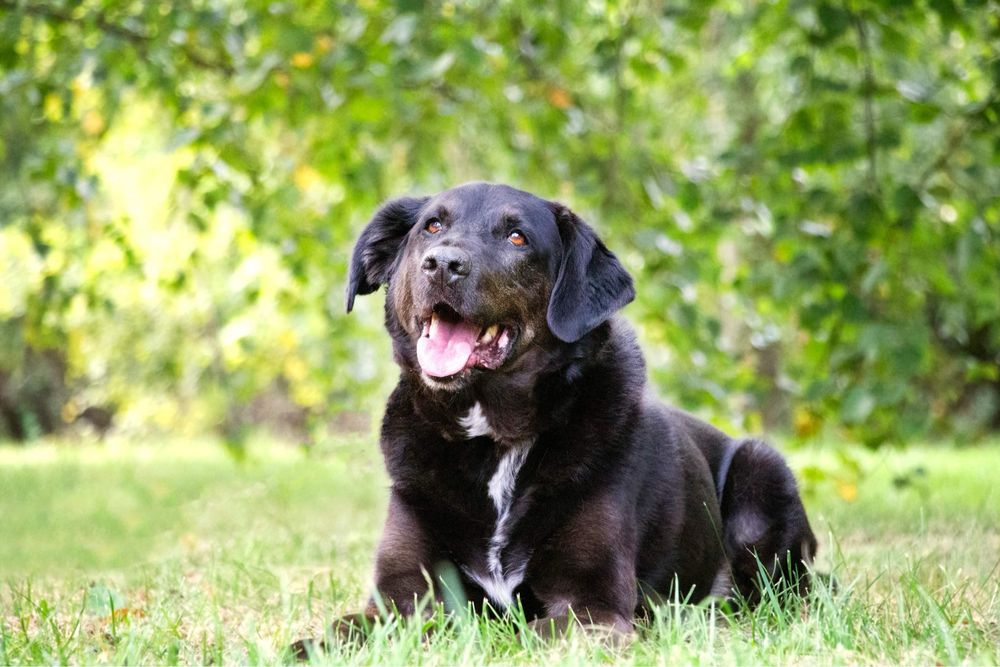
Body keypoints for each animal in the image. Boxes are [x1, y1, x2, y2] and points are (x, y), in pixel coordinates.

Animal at [316, 183, 816, 648]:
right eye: (432, 227)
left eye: (517, 237)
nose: (442, 264)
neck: (493, 438)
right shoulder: (399, 599)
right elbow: (338, 633)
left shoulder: (593, 606)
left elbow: (520, 636)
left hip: (761, 472)